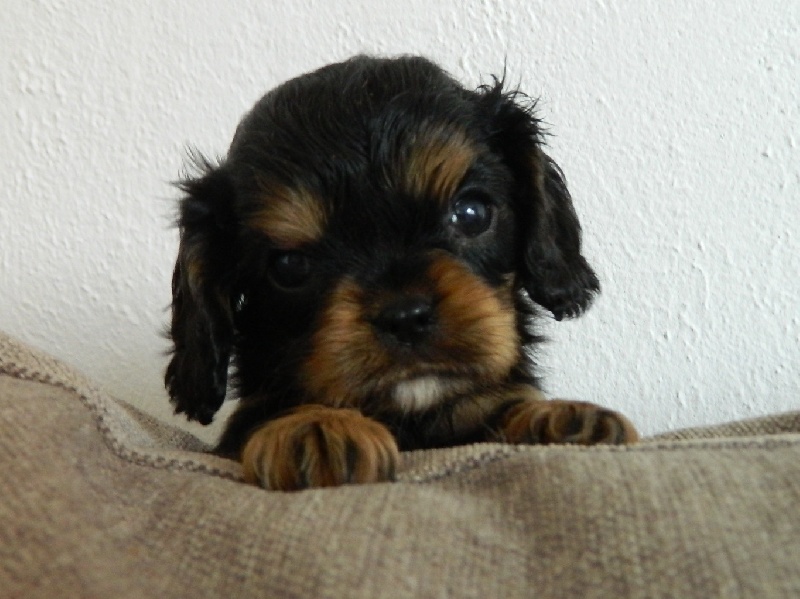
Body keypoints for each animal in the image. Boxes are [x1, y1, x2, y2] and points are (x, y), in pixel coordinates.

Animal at [165, 55, 638, 491]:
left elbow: (502, 405)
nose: (406, 316)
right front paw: (315, 427)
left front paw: (562, 416)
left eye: (471, 213)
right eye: (289, 267)